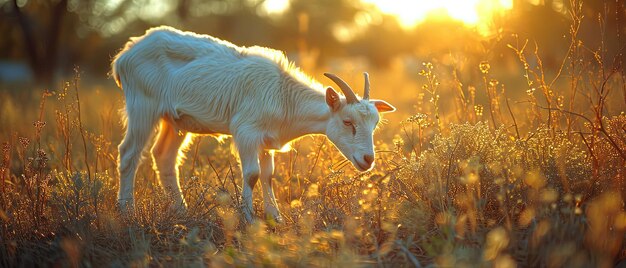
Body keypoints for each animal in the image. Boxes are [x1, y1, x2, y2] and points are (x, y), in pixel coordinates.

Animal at [109, 26, 392, 222]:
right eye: (347, 121)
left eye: (374, 124)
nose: (368, 160)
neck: (283, 95)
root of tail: (124, 56)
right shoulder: (246, 132)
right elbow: (253, 174)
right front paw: (247, 217)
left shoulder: (266, 139)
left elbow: (268, 176)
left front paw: (275, 217)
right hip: (142, 105)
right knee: (129, 154)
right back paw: (127, 210)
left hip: (174, 120)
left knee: (164, 157)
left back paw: (181, 210)